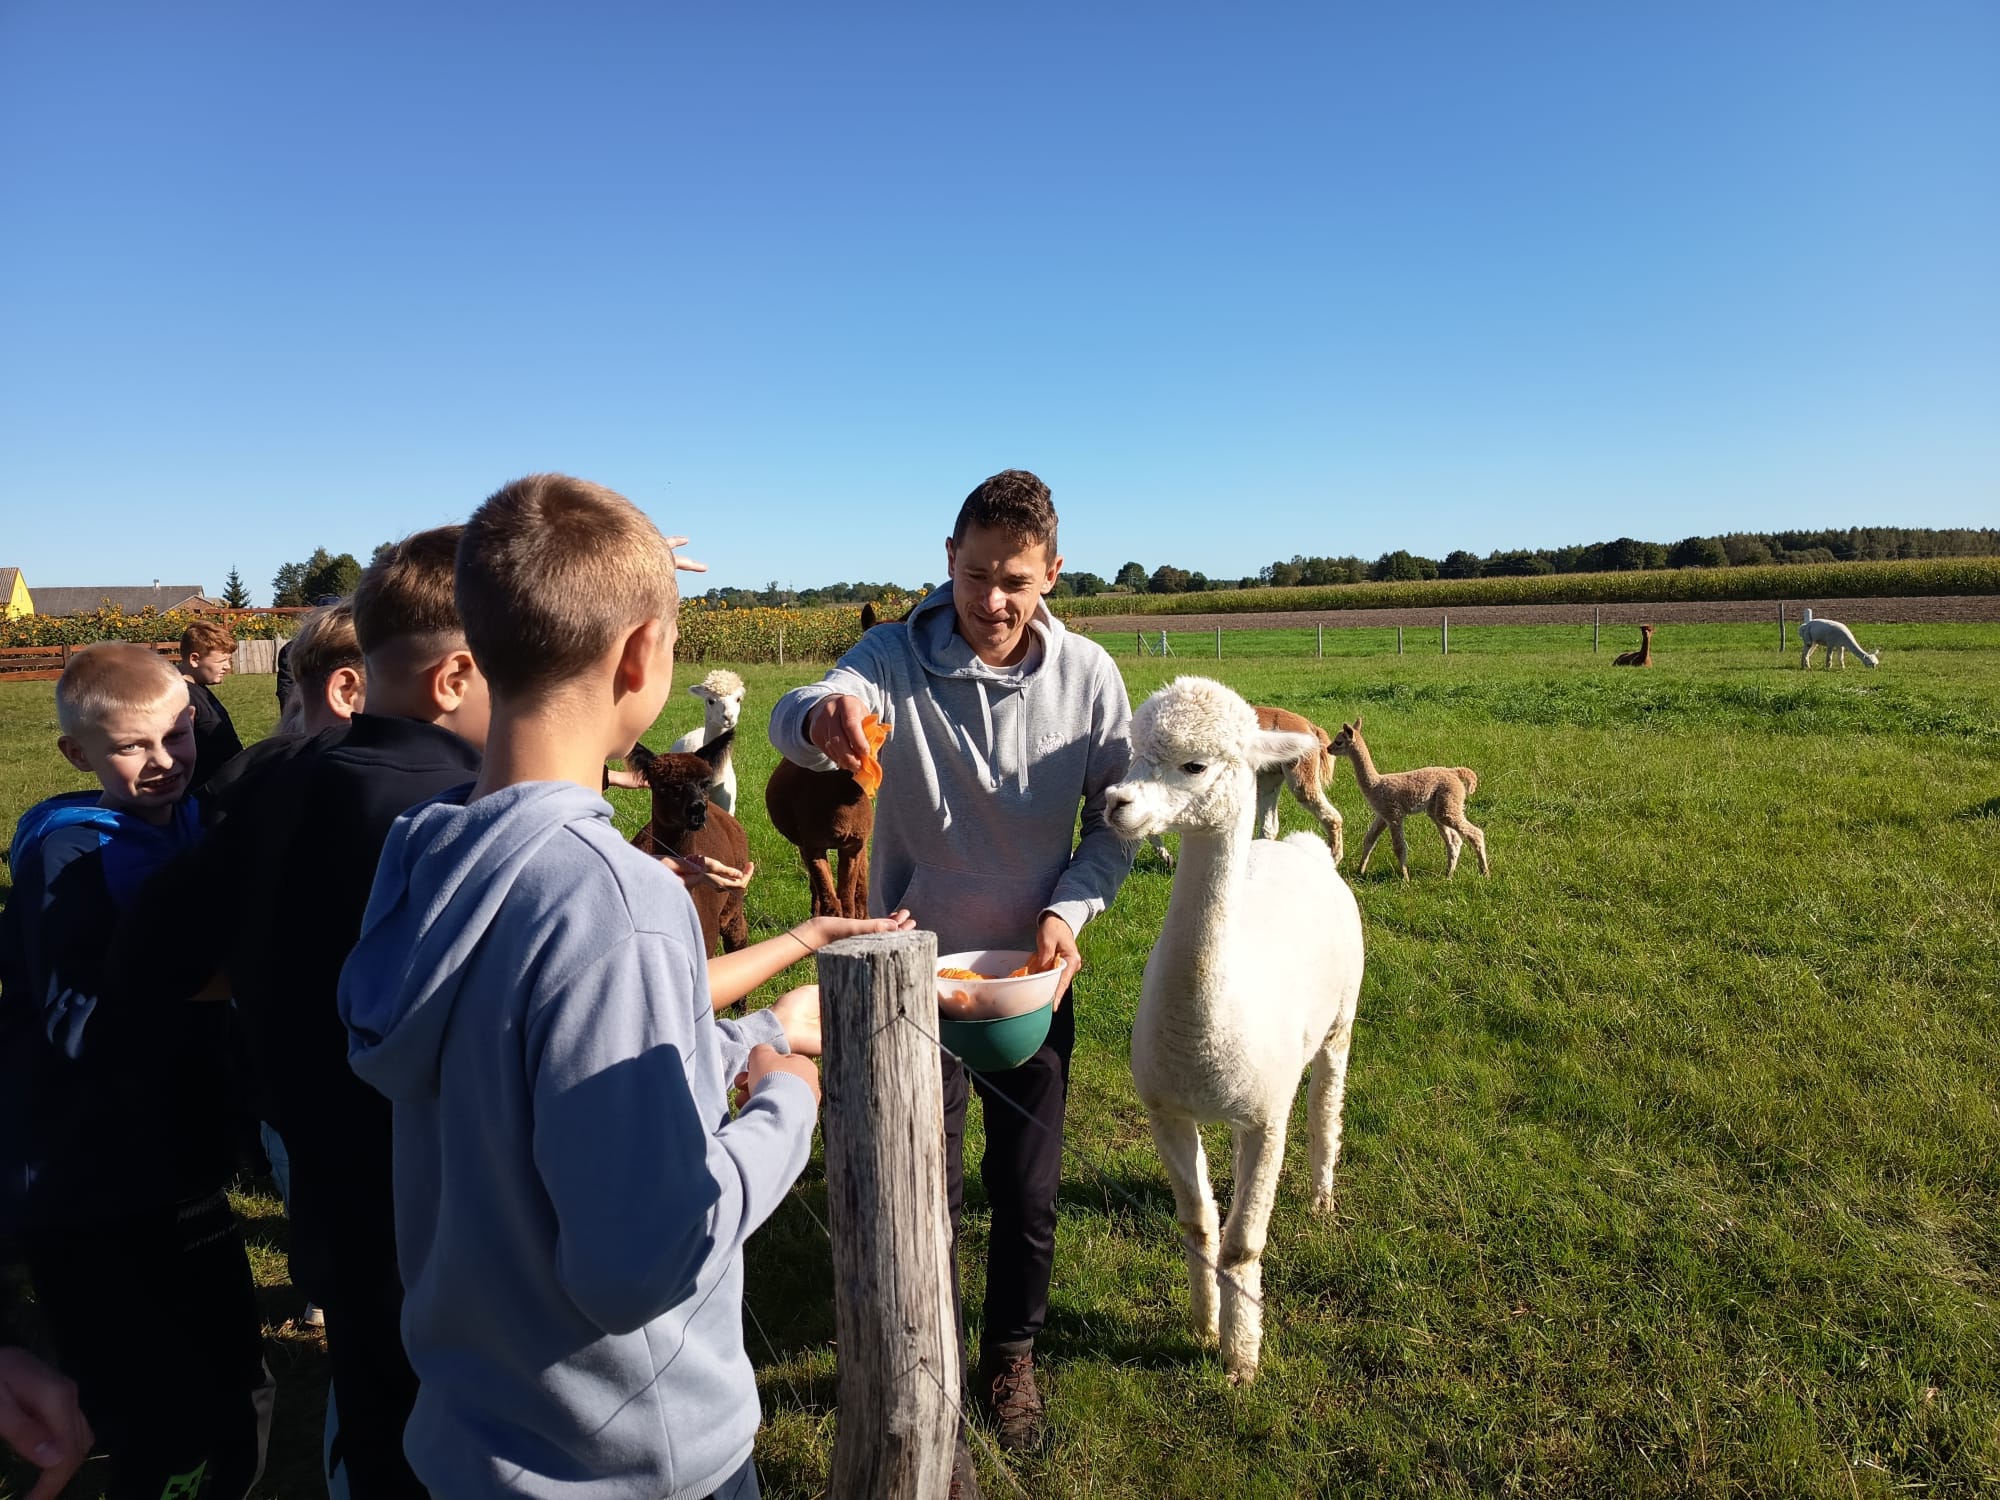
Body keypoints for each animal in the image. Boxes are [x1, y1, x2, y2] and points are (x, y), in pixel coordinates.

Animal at [1102, 676, 1365, 1385]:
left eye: (1194, 765)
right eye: (1132, 753)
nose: (1115, 802)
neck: (1204, 1031)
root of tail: (1296, 849)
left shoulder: (1267, 1114)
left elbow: (1245, 1242)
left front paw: (1241, 1359)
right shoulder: (1166, 1107)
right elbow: (1198, 1225)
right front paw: (1203, 1325)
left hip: (1341, 1018)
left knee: (1327, 1101)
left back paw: (1322, 1197)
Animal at [1327, 715, 1489, 879]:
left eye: (1338, 741)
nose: (1328, 748)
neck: (1375, 784)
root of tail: (1454, 772)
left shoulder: (1393, 814)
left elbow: (1399, 847)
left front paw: (1405, 878)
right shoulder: (1382, 815)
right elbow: (1369, 839)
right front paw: (1360, 871)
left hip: (1448, 802)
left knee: (1476, 833)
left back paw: (1484, 872)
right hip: (1438, 807)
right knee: (1454, 840)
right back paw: (1448, 875)